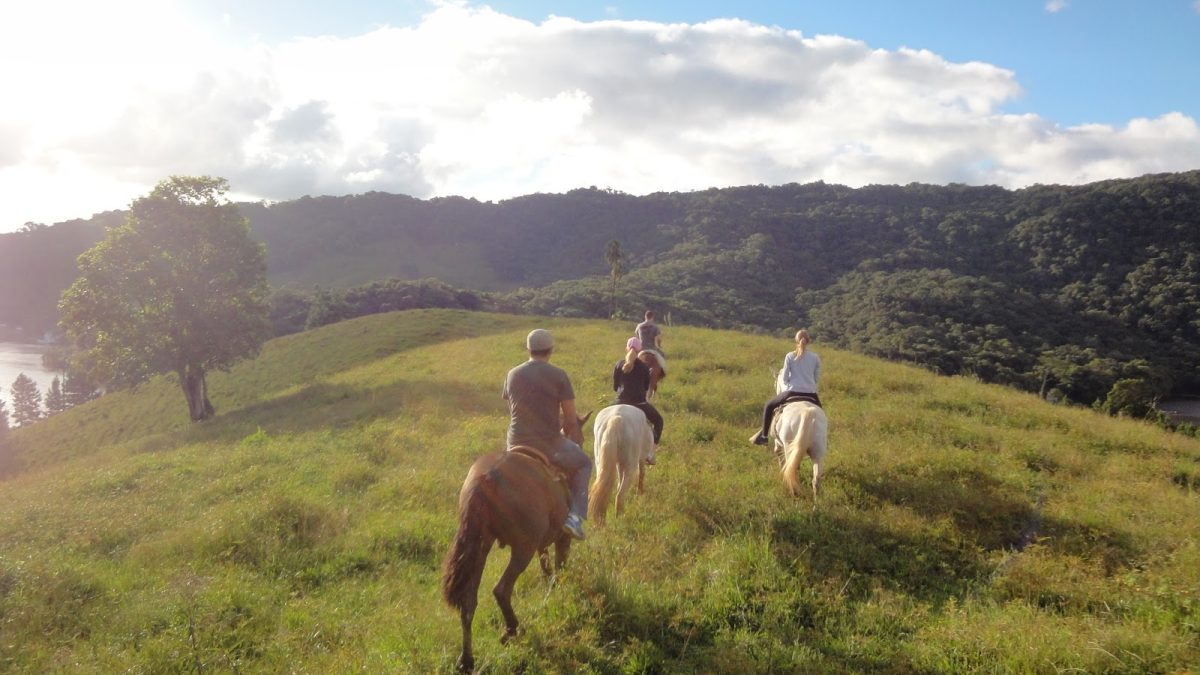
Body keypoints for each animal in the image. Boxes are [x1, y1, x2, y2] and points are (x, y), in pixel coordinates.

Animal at [441, 425, 590, 667]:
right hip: (522, 548)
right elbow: (559, 568)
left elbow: (547, 568)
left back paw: (467, 660)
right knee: (501, 589)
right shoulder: (561, 538)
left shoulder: (542, 543)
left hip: (480, 548)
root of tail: (486, 479)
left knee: (468, 601)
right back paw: (512, 630)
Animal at [772, 367, 830, 499]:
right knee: (816, 480)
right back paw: (817, 502)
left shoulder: (779, 444)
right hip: (818, 453)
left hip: (790, 448)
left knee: (793, 471)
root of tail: (808, 413)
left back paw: (794, 494)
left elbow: (780, 457)